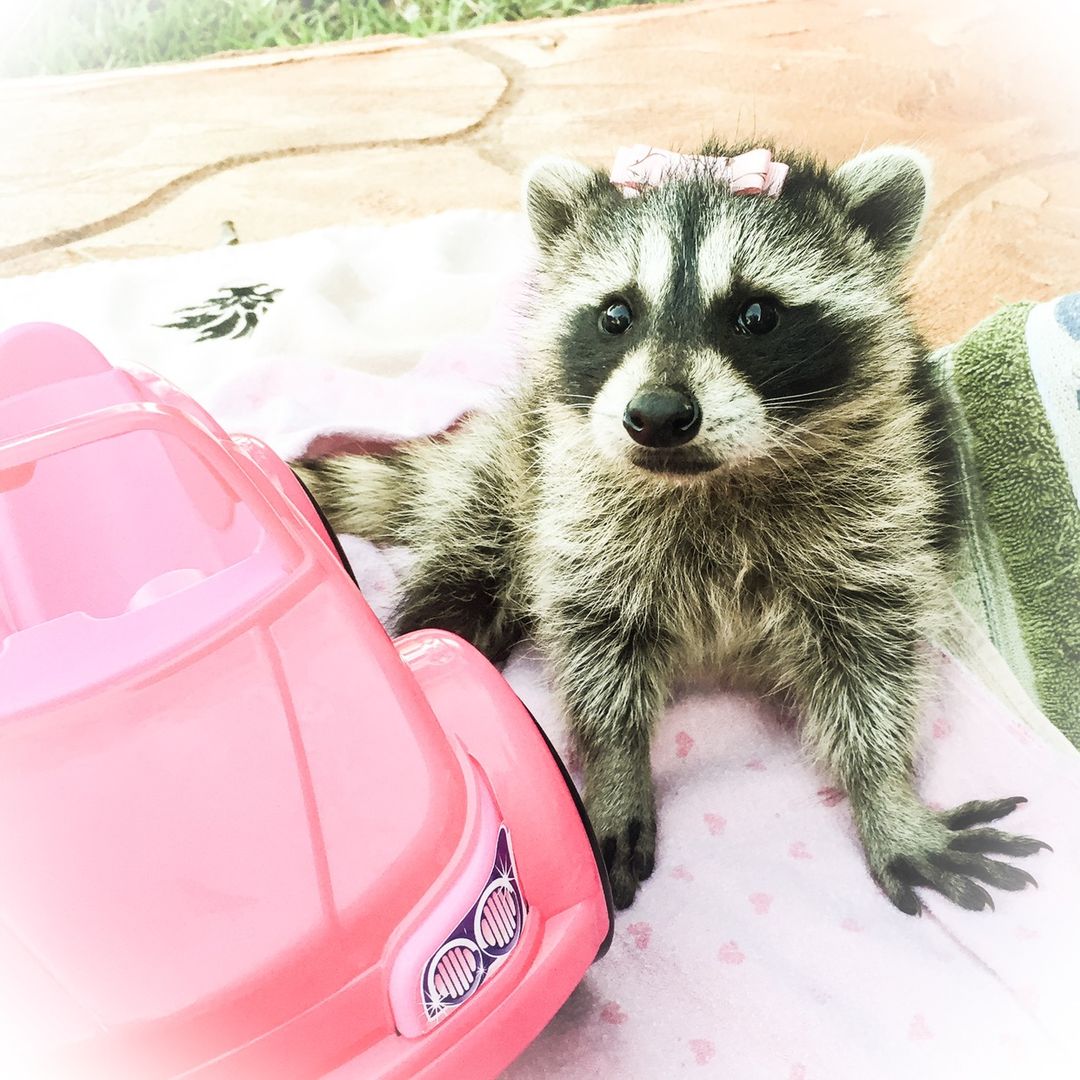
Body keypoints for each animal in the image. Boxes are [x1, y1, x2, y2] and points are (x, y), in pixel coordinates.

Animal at [295, 142, 1049, 913]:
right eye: (616, 314)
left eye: (757, 314)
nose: (657, 415)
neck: (712, 479)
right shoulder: (580, 511)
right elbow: (597, 649)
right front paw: (615, 769)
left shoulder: (880, 512)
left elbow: (871, 665)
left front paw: (886, 792)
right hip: (514, 475)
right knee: (461, 580)